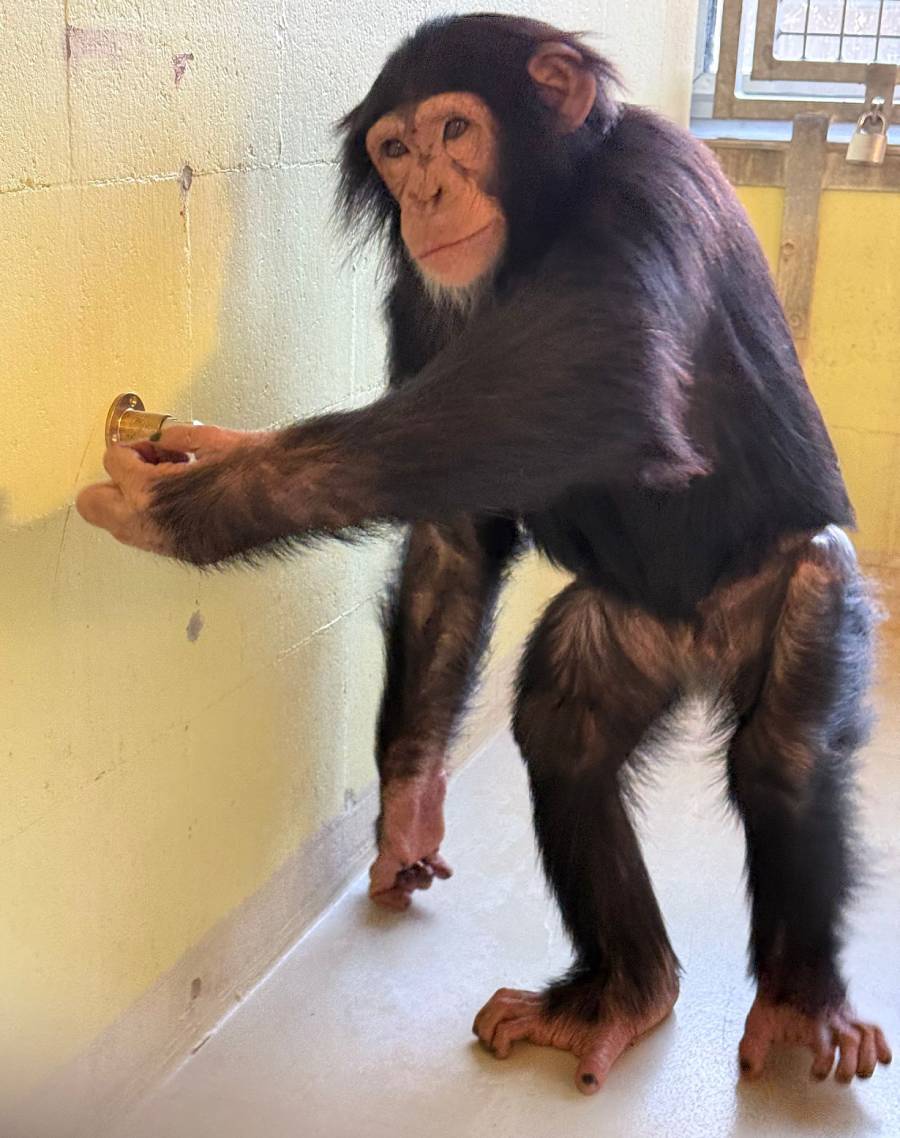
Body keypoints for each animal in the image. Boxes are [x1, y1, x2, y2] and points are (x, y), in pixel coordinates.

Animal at [77, 14, 892, 1095]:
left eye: (455, 130)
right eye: (395, 148)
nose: (424, 192)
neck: (544, 221)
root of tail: (701, 645)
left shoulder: (655, 180)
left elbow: (605, 370)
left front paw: (199, 496)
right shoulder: (421, 299)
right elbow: (455, 541)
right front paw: (408, 808)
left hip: (800, 589)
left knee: (787, 755)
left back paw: (801, 1003)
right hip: (620, 627)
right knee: (566, 732)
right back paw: (621, 992)